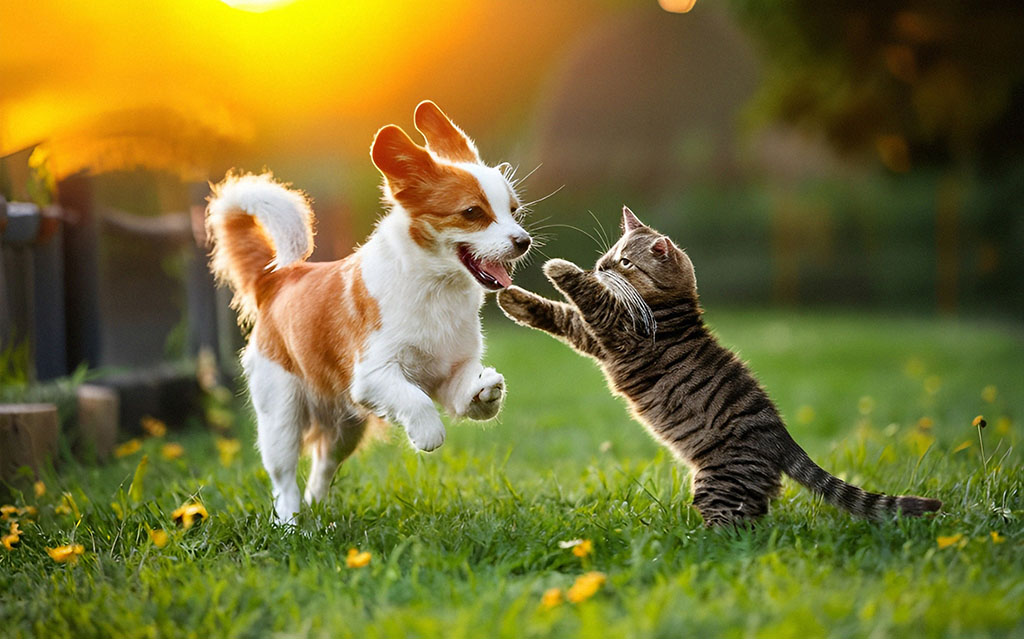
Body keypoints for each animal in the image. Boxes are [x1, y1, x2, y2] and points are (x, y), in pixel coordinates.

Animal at [203, 99, 532, 520]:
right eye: (473, 212)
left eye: (514, 211)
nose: (523, 241)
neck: (436, 291)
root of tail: (275, 279)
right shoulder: (373, 376)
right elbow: (415, 399)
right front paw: (428, 433)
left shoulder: (449, 373)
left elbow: (467, 392)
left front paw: (486, 389)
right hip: (281, 416)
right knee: (284, 482)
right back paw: (291, 525)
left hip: (345, 429)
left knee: (321, 469)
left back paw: (318, 521)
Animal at [497, 206, 942, 528]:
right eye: (607, 257)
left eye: (624, 263)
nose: (601, 267)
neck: (673, 307)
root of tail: (783, 439)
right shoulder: (595, 337)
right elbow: (559, 314)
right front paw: (514, 300)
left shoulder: (614, 327)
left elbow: (584, 296)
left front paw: (559, 267)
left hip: (720, 483)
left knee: (734, 530)